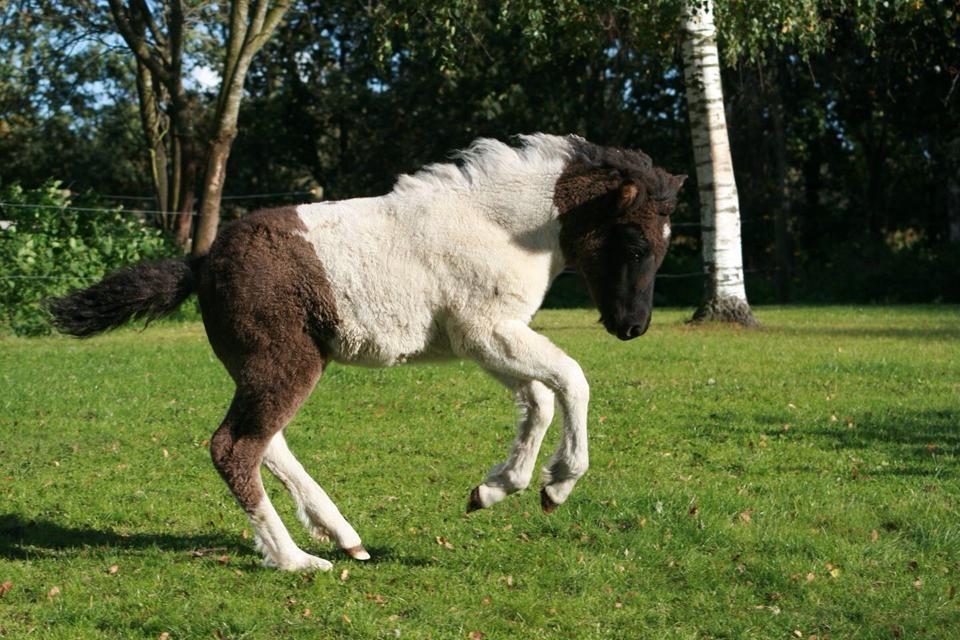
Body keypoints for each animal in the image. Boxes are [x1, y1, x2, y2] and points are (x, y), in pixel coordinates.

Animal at [50, 134, 684, 568]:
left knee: (267, 444)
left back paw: (344, 537)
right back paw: (297, 560)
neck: (497, 225)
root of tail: (202, 263)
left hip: (267, 368)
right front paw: (558, 485)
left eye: (662, 245)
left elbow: (538, 401)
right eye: (633, 242)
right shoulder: (487, 332)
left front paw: (495, 489)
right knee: (235, 447)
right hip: (286, 364)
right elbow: (572, 379)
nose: (633, 327)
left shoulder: (486, 343)